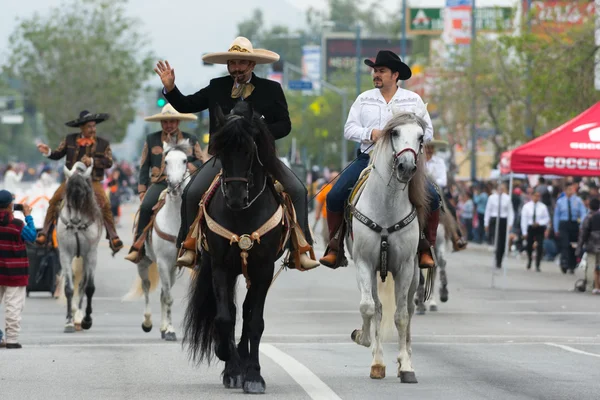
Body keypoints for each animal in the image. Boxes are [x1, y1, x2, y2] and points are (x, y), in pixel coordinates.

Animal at [56, 161, 102, 332]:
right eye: (68, 193)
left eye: (83, 193)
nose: (75, 220)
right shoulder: (65, 254)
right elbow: (69, 288)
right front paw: (68, 321)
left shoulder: (91, 254)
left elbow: (89, 287)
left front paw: (87, 320)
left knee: (83, 284)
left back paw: (80, 316)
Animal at [125, 141, 192, 340]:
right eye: (166, 160)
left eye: (185, 160)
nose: (174, 186)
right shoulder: (163, 262)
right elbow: (167, 297)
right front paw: (169, 330)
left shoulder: (174, 264)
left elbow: (166, 296)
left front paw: (167, 328)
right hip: (143, 262)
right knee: (147, 287)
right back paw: (147, 322)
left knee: (162, 293)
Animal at [182, 100, 288, 394]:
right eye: (220, 151)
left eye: (250, 150)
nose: (236, 198)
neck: (244, 215)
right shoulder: (220, 266)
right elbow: (224, 318)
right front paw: (229, 362)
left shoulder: (264, 269)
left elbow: (254, 322)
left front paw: (253, 376)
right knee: (231, 310)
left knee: (248, 309)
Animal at [346, 111, 432, 382]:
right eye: (394, 132)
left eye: (421, 136)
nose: (406, 167)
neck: (386, 205)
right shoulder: (364, 263)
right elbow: (368, 307)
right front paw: (364, 340)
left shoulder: (404, 267)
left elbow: (402, 316)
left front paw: (405, 366)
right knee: (378, 308)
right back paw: (378, 362)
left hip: (414, 273)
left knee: (409, 310)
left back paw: (406, 357)